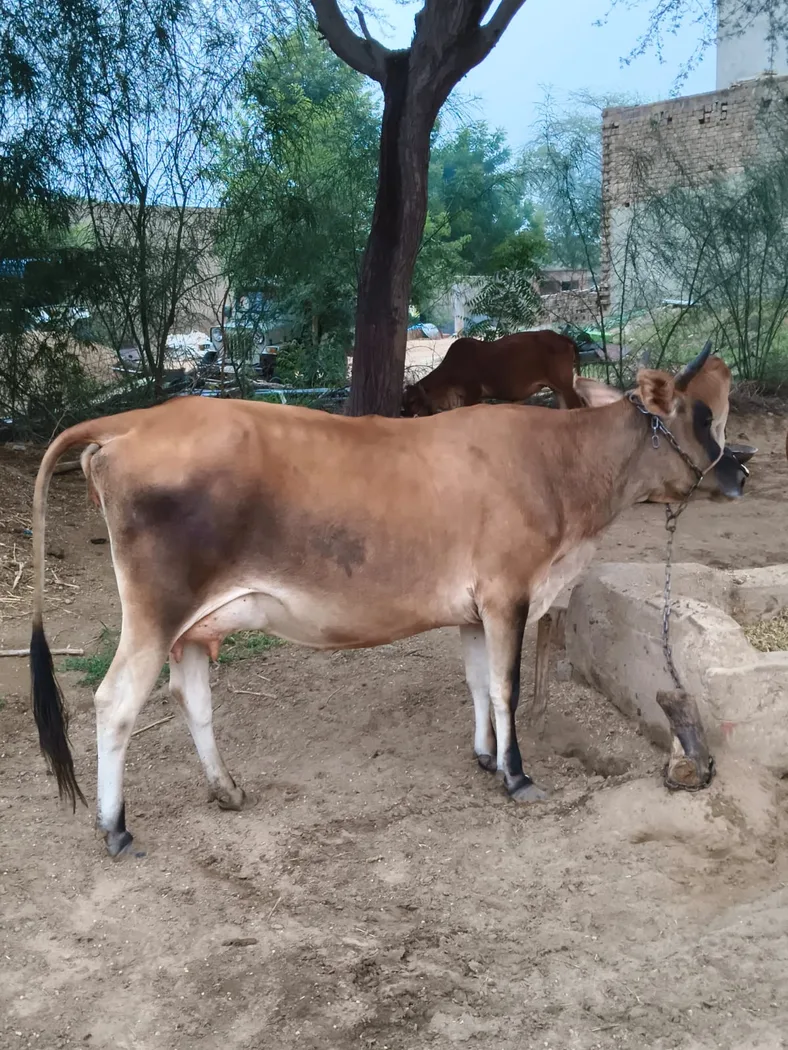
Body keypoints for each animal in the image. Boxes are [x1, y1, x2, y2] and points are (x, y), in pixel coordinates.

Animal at [30, 342, 746, 856]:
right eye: (702, 415)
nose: (740, 471)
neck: (559, 468)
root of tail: (136, 420)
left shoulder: (473, 609)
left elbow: (477, 682)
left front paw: (484, 757)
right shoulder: (508, 593)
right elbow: (506, 688)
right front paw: (516, 775)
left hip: (195, 624)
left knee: (191, 697)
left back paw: (226, 789)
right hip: (154, 612)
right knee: (114, 703)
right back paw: (117, 829)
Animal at [402, 330, 584, 416]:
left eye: (412, 400)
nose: (404, 414)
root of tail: (562, 337)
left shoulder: (473, 394)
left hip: (566, 386)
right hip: (557, 390)